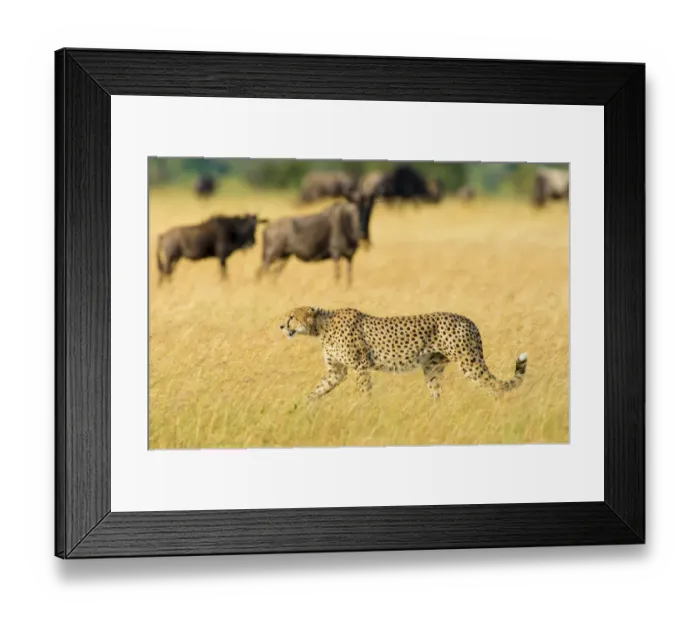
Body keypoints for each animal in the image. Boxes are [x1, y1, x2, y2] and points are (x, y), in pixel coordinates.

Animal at [280, 306, 528, 401]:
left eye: (292, 317)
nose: (281, 326)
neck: (321, 326)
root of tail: (469, 320)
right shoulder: (336, 371)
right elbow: (318, 389)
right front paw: (304, 407)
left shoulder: (360, 366)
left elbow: (364, 391)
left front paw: (364, 410)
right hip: (432, 368)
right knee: (437, 394)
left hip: (468, 362)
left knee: (495, 385)